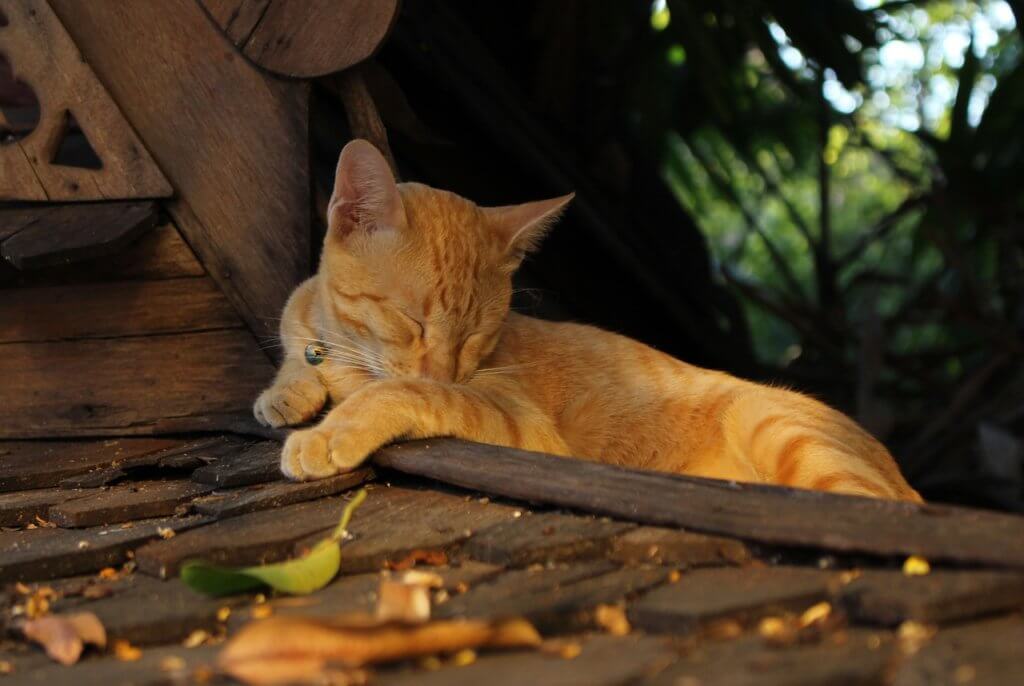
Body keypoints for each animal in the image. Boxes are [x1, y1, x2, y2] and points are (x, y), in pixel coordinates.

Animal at [253, 141, 921, 505]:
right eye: (410, 320)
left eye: (477, 335)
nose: (445, 371)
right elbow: (295, 356)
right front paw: (285, 395)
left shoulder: (515, 424)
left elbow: (402, 393)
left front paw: (329, 430)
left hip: (778, 426)